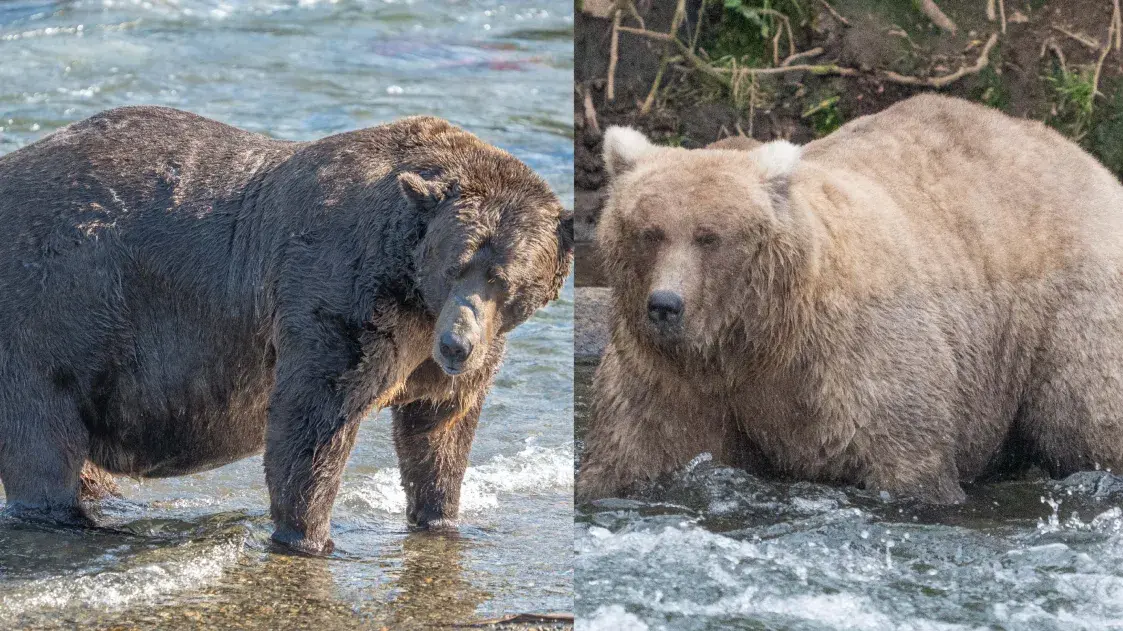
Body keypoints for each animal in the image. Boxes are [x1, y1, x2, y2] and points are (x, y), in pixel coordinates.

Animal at [0, 106, 570, 550]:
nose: (456, 345)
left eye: (503, 279)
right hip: (53, 311)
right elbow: (313, 420)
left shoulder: (441, 351)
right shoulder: (339, 295)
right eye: (455, 265)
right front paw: (309, 536)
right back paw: (73, 518)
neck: (413, 292)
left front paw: (442, 518)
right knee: (42, 440)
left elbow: (439, 430)